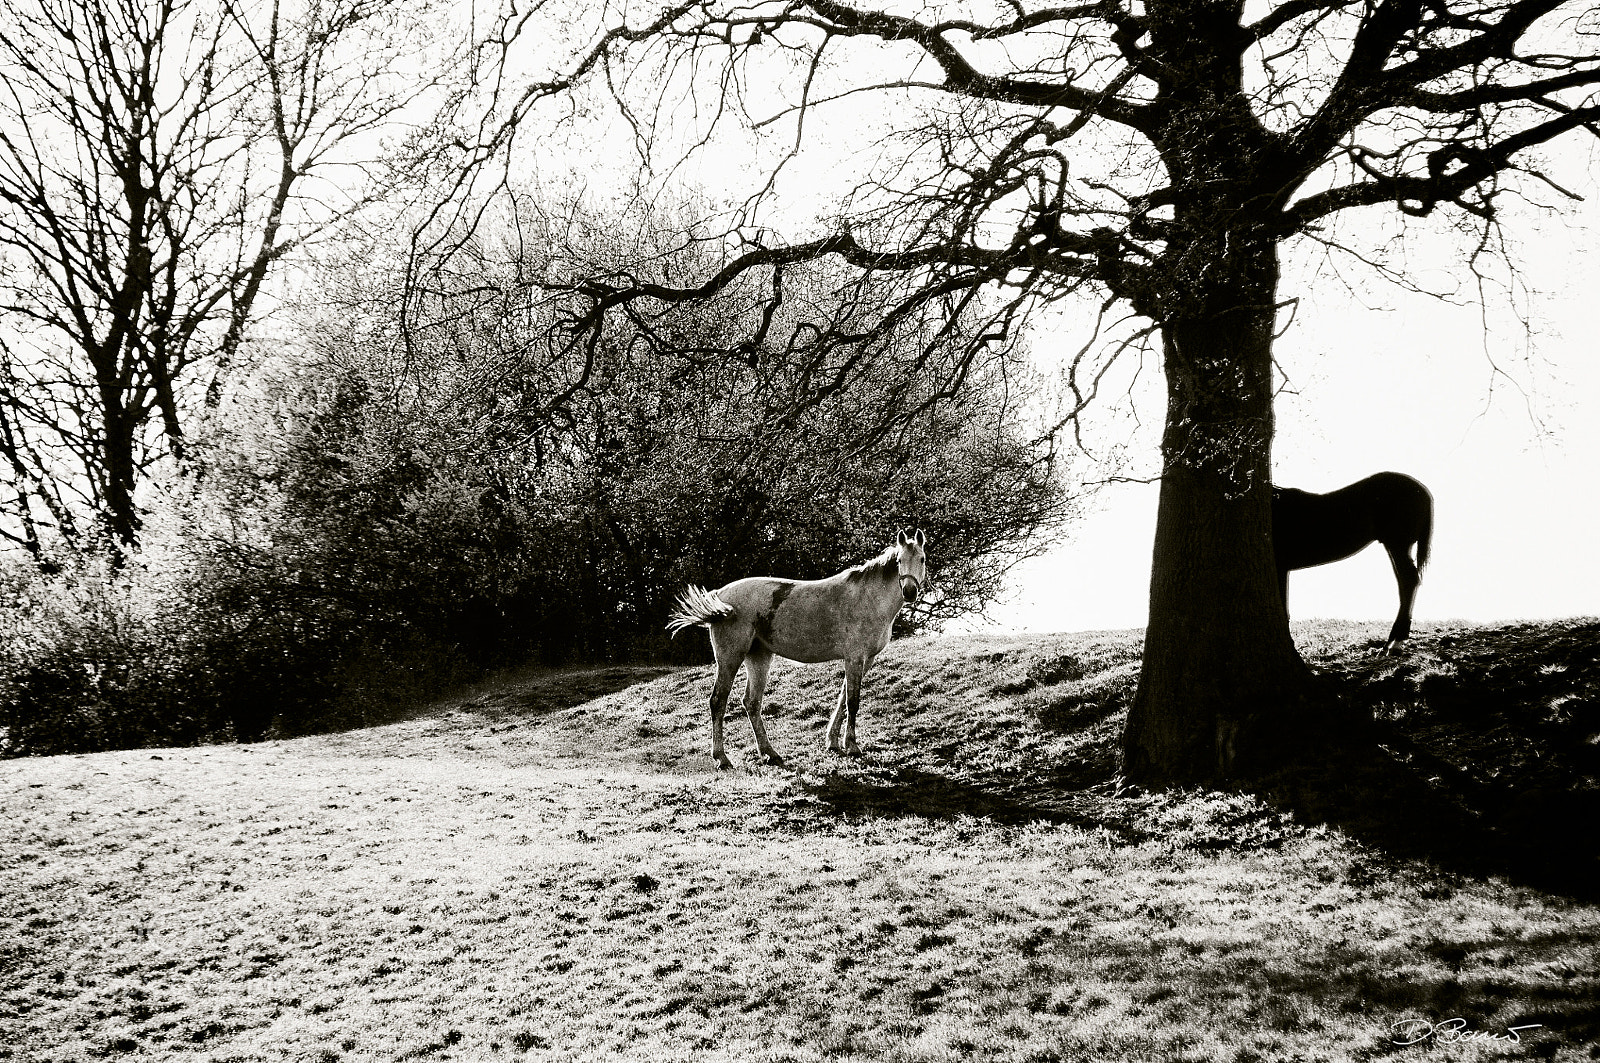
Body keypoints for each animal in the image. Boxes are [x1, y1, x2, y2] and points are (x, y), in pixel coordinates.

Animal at [667, 529, 928, 770]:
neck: (868, 597)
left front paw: (833, 742)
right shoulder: (855, 658)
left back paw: (770, 753)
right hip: (730, 658)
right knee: (718, 701)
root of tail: (720, 595)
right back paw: (722, 758)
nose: (909, 591)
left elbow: (842, 698)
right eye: (899, 561)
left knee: (752, 702)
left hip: (759, 657)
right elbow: (852, 701)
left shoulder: (865, 659)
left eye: (922, 559)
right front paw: (852, 746)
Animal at [1271, 471, 1433, 652]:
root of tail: (1422, 491)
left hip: (1398, 544)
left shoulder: (1280, 566)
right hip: (1398, 546)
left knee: (1409, 580)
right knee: (1404, 583)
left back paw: (1394, 641)